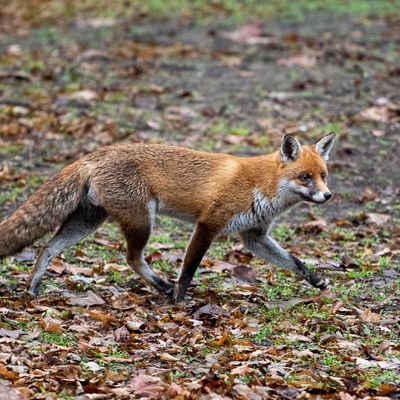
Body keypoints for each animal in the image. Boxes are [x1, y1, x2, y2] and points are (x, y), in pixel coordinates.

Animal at [0, 133, 336, 302]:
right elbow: (188, 269)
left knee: (47, 247)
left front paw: (316, 280)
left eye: (323, 176)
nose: (327, 196)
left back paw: (32, 287)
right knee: (132, 258)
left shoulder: (255, 236)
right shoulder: (208, 223)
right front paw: (179, 299)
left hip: (89, 221)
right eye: (305, 177)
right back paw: (162, 286)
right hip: (141, 221)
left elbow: (294, 262)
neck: (262, 185)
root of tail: (98, 152)